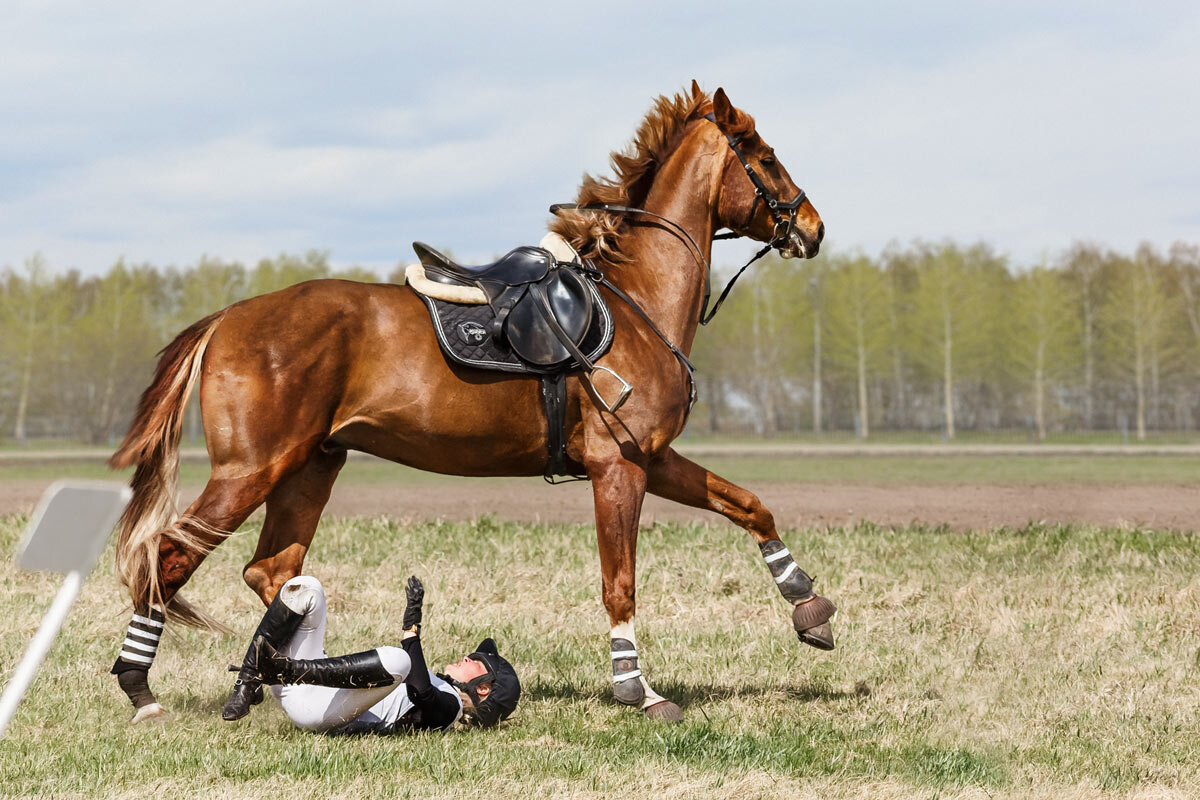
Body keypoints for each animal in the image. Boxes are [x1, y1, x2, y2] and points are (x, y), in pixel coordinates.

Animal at [112, 82, 835, 724]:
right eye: (765, 155)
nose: (814, 227)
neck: (634, 304)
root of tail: (228, 318)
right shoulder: (618, 469)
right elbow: (620, 581)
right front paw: (638, 689)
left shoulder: (652, 459)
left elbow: (749, 505)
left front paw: (810, 606)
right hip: (251, 471)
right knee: (168, 558)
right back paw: (142, 689)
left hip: (310, 466)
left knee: (274, 570)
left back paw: (281, 678)